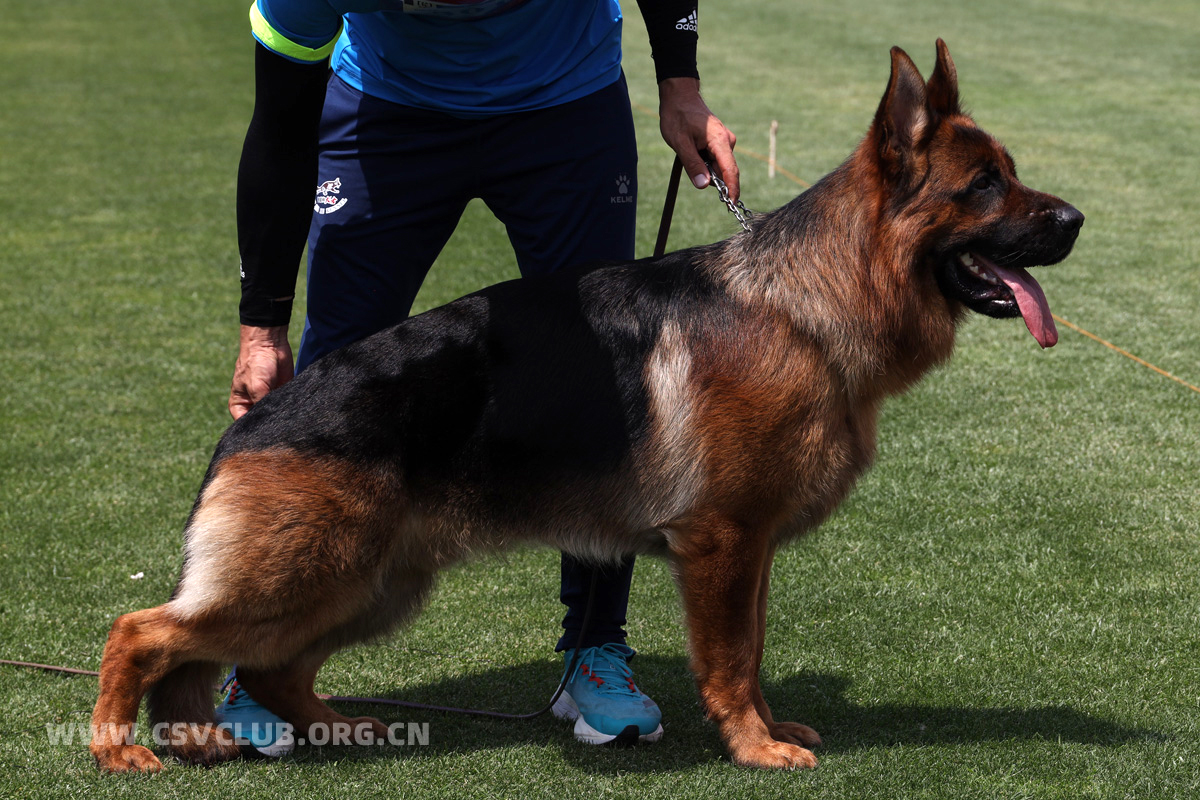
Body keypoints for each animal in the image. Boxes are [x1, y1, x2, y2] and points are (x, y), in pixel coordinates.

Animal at [91, 40, 1082, 772]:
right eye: (984, 186)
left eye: (1011, 173)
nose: (1077, 221)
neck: (802, 304)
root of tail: (249, 424)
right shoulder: (722, 542)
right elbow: (731, 658)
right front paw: (753, 747)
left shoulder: (751, 547)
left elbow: (755, 649)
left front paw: (769, 728)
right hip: (308, 575)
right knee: (145, 633)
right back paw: (120, 748)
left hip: (372, 583)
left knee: (272, 668)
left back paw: (327, 726)